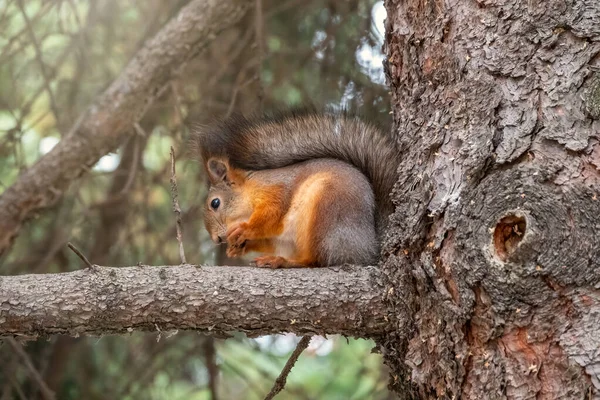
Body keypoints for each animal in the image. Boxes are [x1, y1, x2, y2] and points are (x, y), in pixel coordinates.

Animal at [192, 108, 398, 268]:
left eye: (215, 203)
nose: (217, 240)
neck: (249, 190)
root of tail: (368, 248)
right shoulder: (276, 237)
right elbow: (268, 237)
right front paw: (238, 247)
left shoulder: (277, 188)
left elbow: (272, 212)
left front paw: (244, 229)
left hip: (328, 213)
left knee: (317, 261)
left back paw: (283, 261)